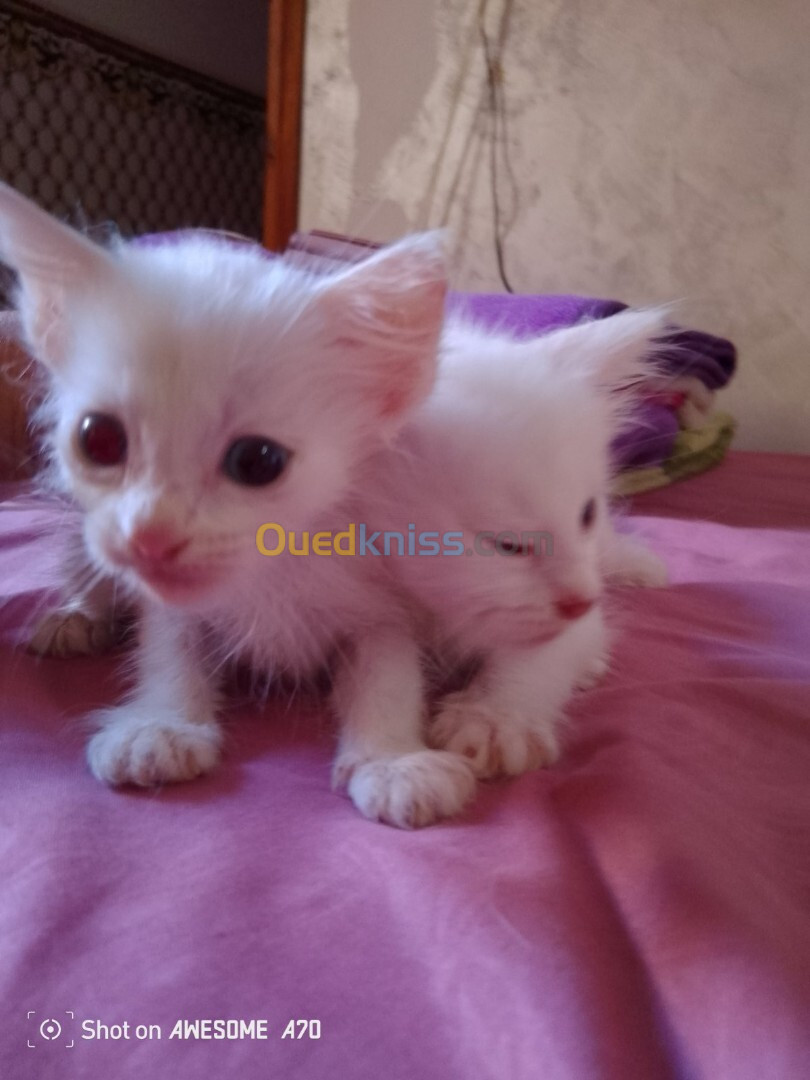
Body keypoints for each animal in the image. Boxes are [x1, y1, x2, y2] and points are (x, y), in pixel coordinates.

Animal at [0, 183, 479, 825]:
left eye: (257, 461)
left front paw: (394, 760)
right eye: (98, 440)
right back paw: (77, 615)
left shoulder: (386, 593)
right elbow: (168, 646)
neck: (271, 572)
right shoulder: (167, 602)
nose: (149, 535)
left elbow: (389, 668)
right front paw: (161, 724)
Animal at [360, 308, 665, 781]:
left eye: (586, 515)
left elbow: (543, 653)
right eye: (508, 545)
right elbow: (382, 671)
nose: (580, 601)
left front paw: (496, 717)